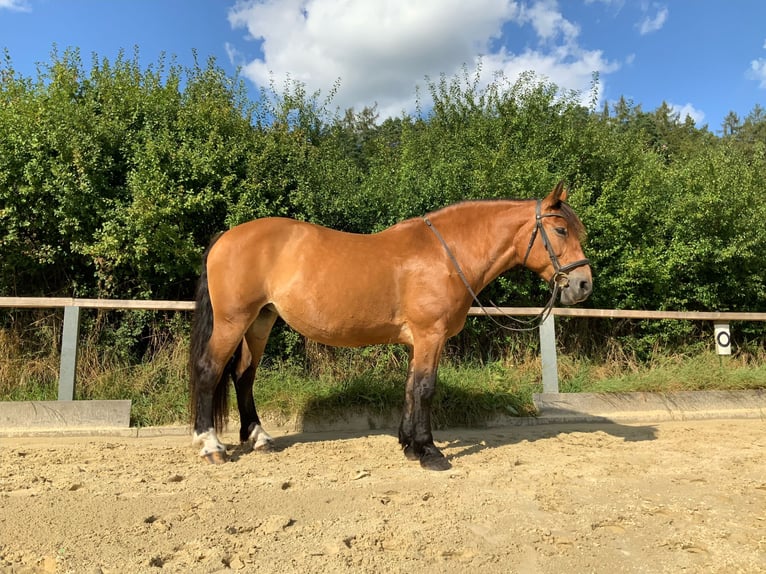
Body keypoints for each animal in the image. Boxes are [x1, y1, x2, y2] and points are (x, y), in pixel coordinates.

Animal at [188, 181, 592, 472]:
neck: (445, 254)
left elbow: (411, 388)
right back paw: (211, 445)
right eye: (560, 230)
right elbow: (426, 389)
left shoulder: (419, 340)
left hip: (261, 319)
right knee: (210, 370)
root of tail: (226, 237)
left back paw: (258, 438)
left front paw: (410, 445)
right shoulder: (430, 335)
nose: (582, 285)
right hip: (233, 320)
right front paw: (430, 452)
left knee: (243, 375)